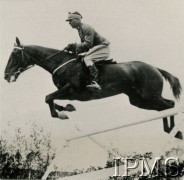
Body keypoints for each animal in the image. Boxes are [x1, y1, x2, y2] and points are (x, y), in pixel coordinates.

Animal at [3, 37, 182, 119]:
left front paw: (60, 113)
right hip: (140, 101)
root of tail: (156, 68)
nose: (6, 76)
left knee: (170, 104)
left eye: (14, 54)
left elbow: (48, 97)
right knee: (165, 106)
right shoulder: (69, 93)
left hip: (150, 96)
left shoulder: (72, 90)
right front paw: (66, 108)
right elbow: (50, 99)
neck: (61, 63)